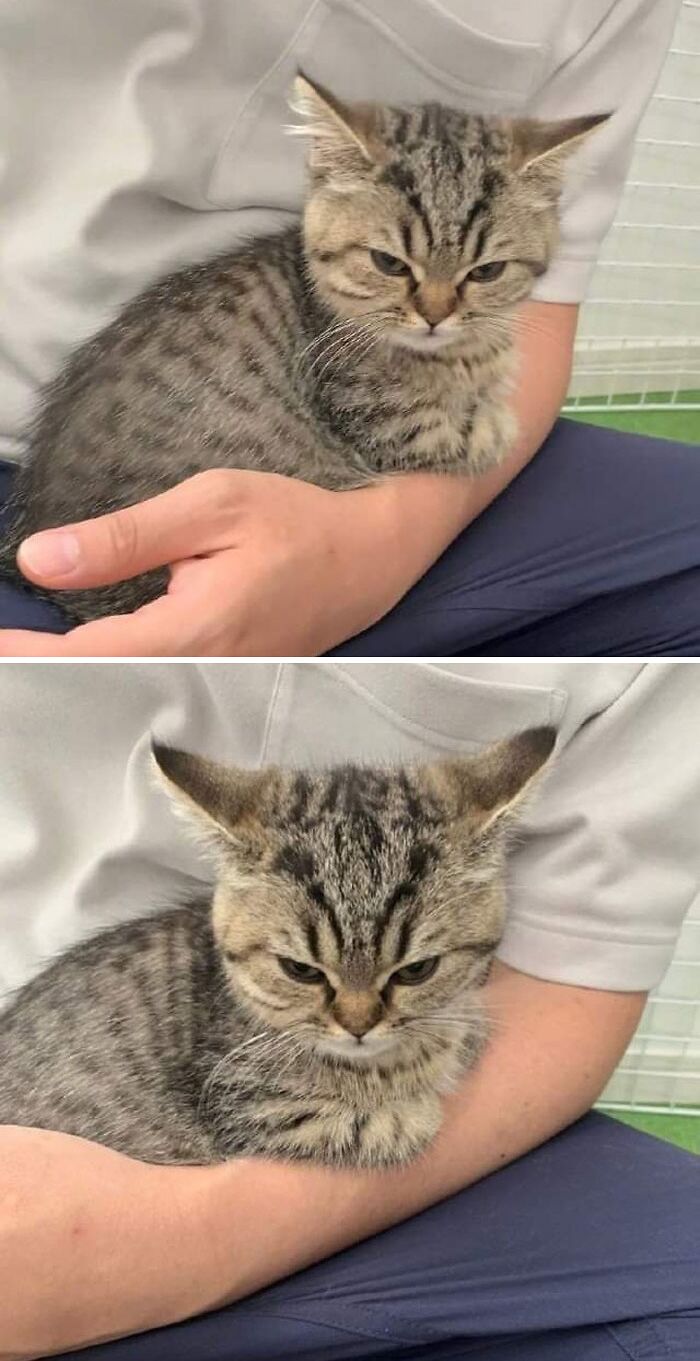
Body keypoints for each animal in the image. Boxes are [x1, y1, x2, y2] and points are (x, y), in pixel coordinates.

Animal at [0, 77, 604, 620]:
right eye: (389, 263)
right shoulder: (386, 424)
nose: (436, 316)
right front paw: (497, 423)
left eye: (487, 272)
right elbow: (478, 435)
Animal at [0, 729, 552, 1165]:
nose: (358, 1026)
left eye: (416, 971)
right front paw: (419, 1102)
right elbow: (380, 1127)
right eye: (300, 970)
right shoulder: (255, 1110)